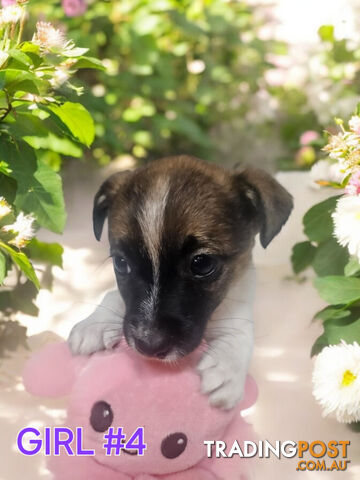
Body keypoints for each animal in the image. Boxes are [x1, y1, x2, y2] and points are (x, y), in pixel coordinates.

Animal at [68, 157, 292, 408]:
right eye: (121, 263)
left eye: (202, 264)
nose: (149, 345)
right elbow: (112, 294)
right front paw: (94, 323)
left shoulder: (241, 293)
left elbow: (238, 326)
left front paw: (227, 364)